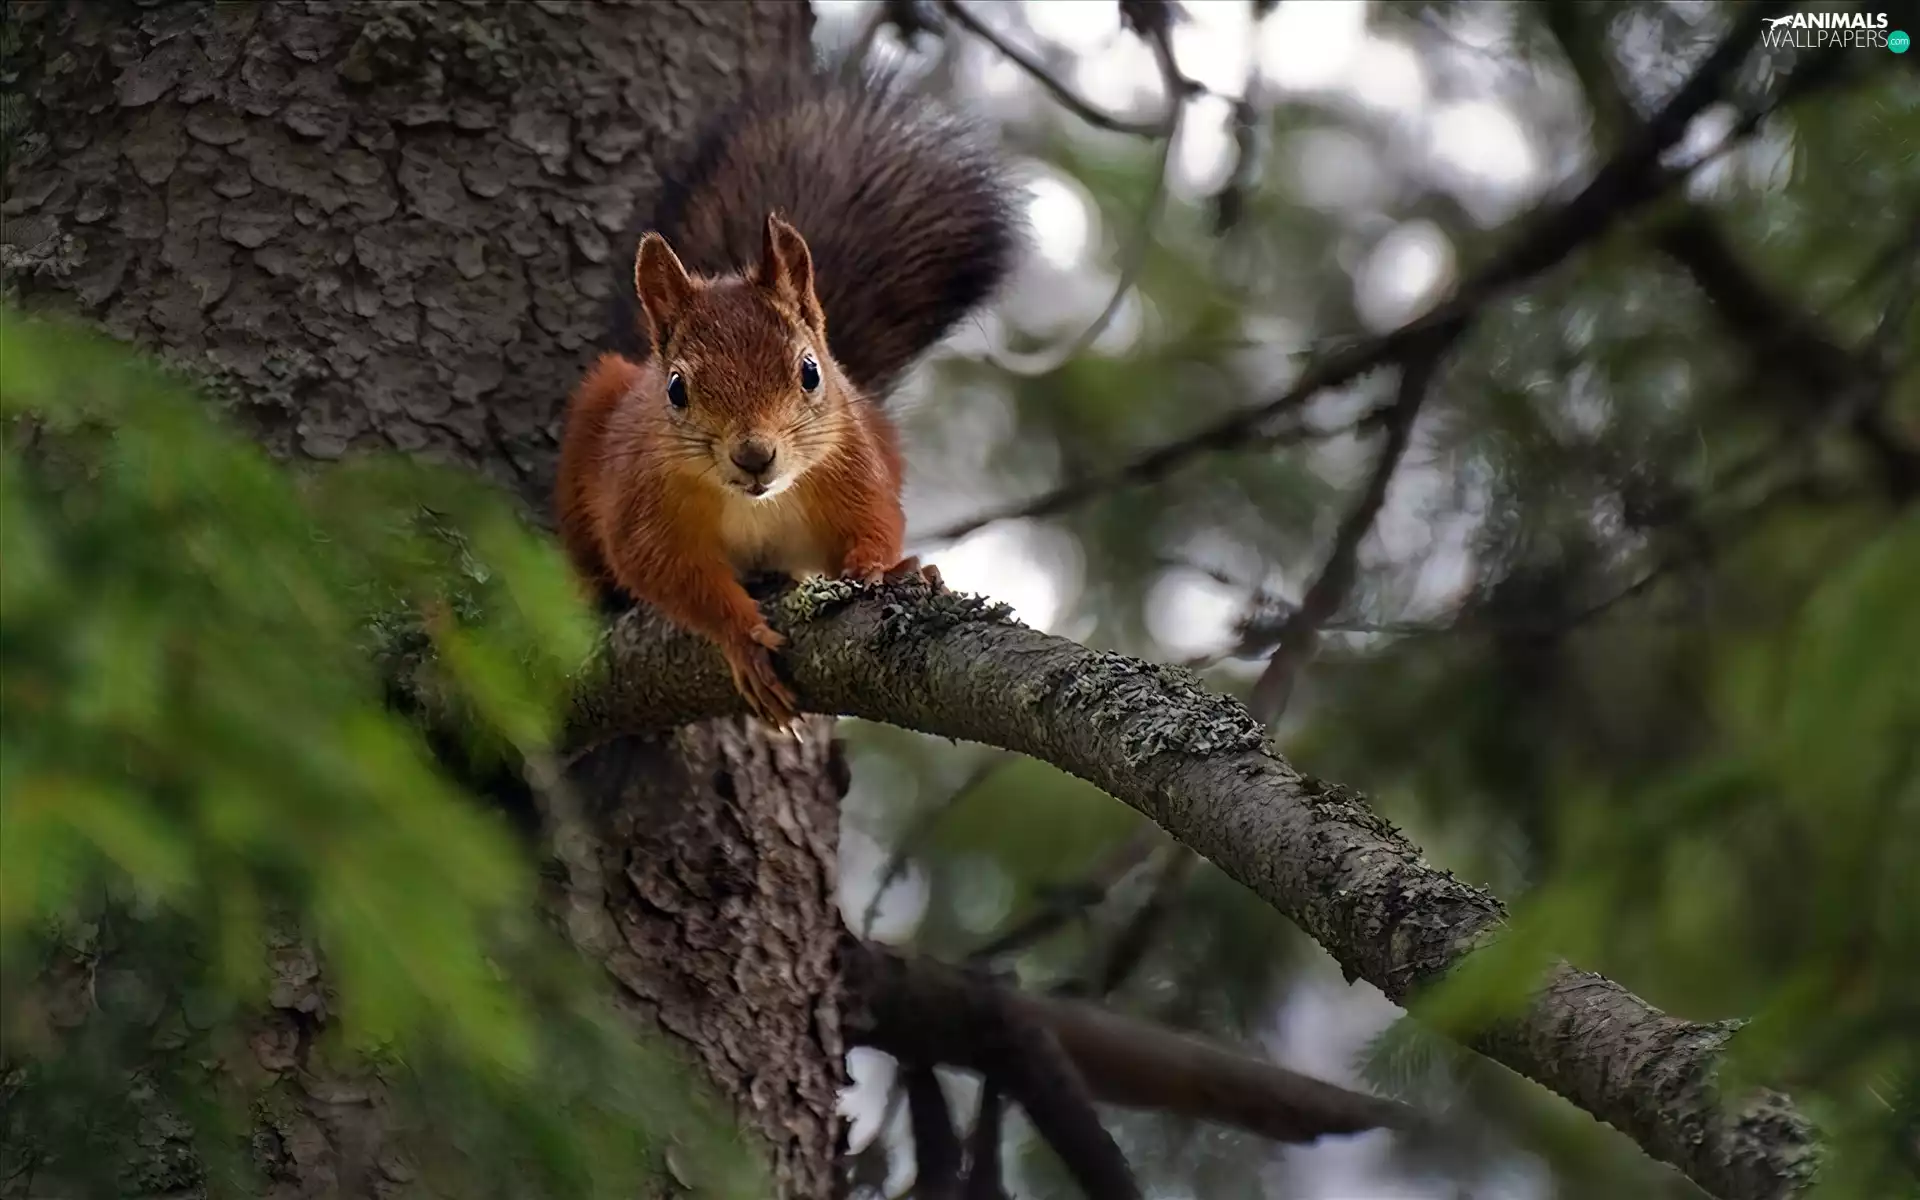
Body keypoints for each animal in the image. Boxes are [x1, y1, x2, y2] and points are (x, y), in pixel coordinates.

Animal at [555, 66, 1024, 730]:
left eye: (809, 372)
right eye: (676, 388)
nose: (754, 456)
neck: (755, 503)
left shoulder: (853, 467)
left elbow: (878, 522)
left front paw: (887, 567)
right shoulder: (641, 509)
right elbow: (669, 575)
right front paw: (743, 637)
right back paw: (588, 586)